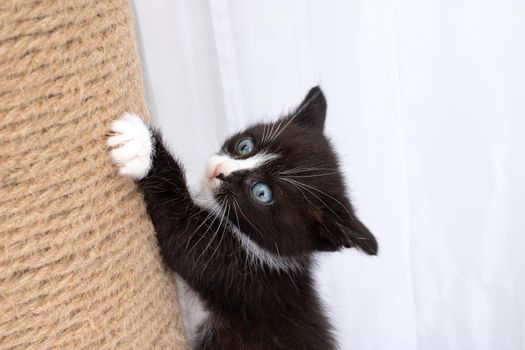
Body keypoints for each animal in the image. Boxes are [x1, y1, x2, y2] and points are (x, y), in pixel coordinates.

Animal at [107, 86, 376, 348]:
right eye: (245, 146)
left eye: (262, 192)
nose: (218, 171)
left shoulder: (236, 274)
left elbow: (180, 229)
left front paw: (142, 146)